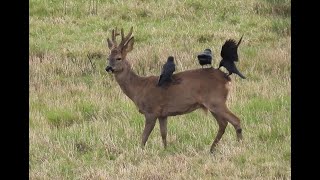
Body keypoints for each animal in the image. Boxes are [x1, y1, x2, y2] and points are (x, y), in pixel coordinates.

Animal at [105, 27, 242, 153]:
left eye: (118, 58)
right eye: (108, 57)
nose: (108, 68)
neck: (138, 88)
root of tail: (226, 77)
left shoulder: (151, 111)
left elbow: (144, 136)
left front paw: (140, 151)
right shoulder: (163, 114)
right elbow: (163, 134)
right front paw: (166, 150)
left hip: (216, 100)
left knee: (235, 120)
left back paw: (239, 145)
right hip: (213, 104)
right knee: (223, 124)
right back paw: (212, 148)